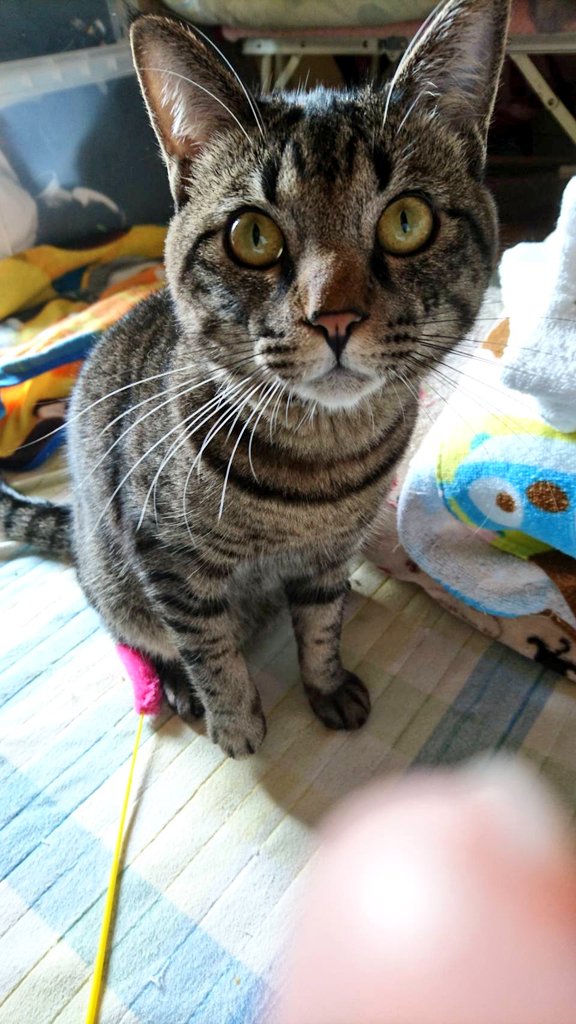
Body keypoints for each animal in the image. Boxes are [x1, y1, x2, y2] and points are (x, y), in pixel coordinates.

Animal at [0, 0, 510, 758]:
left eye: (406, 219)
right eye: (253, 236)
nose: (335, 316)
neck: (321, 468)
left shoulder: (330, 555)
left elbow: (320, 625)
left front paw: (326, 684)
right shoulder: (168, 560)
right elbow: (209, 649)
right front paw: (237, 722)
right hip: (116, 577)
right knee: (136, 635)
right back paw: (174, 686)